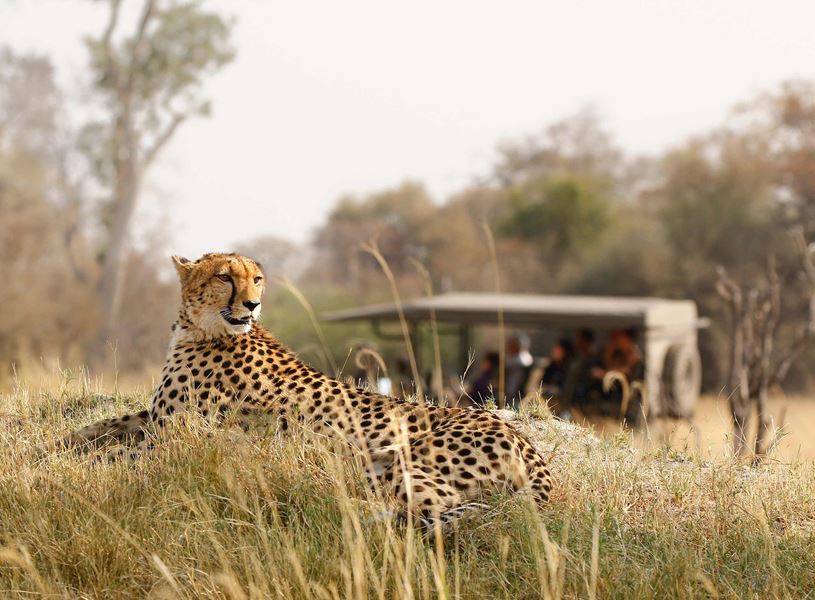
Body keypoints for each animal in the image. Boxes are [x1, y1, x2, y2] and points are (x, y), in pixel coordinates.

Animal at [67, 252, 553, 527]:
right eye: (225, 277)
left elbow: (118, 452)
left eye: (257, 278)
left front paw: (80, 463)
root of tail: (525, 441)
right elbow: (101, 426)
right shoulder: (156, 416)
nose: (252, 304)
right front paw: (63, 443)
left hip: (387, 458)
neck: (202, 328)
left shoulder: (180, 433)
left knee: (438, 504)